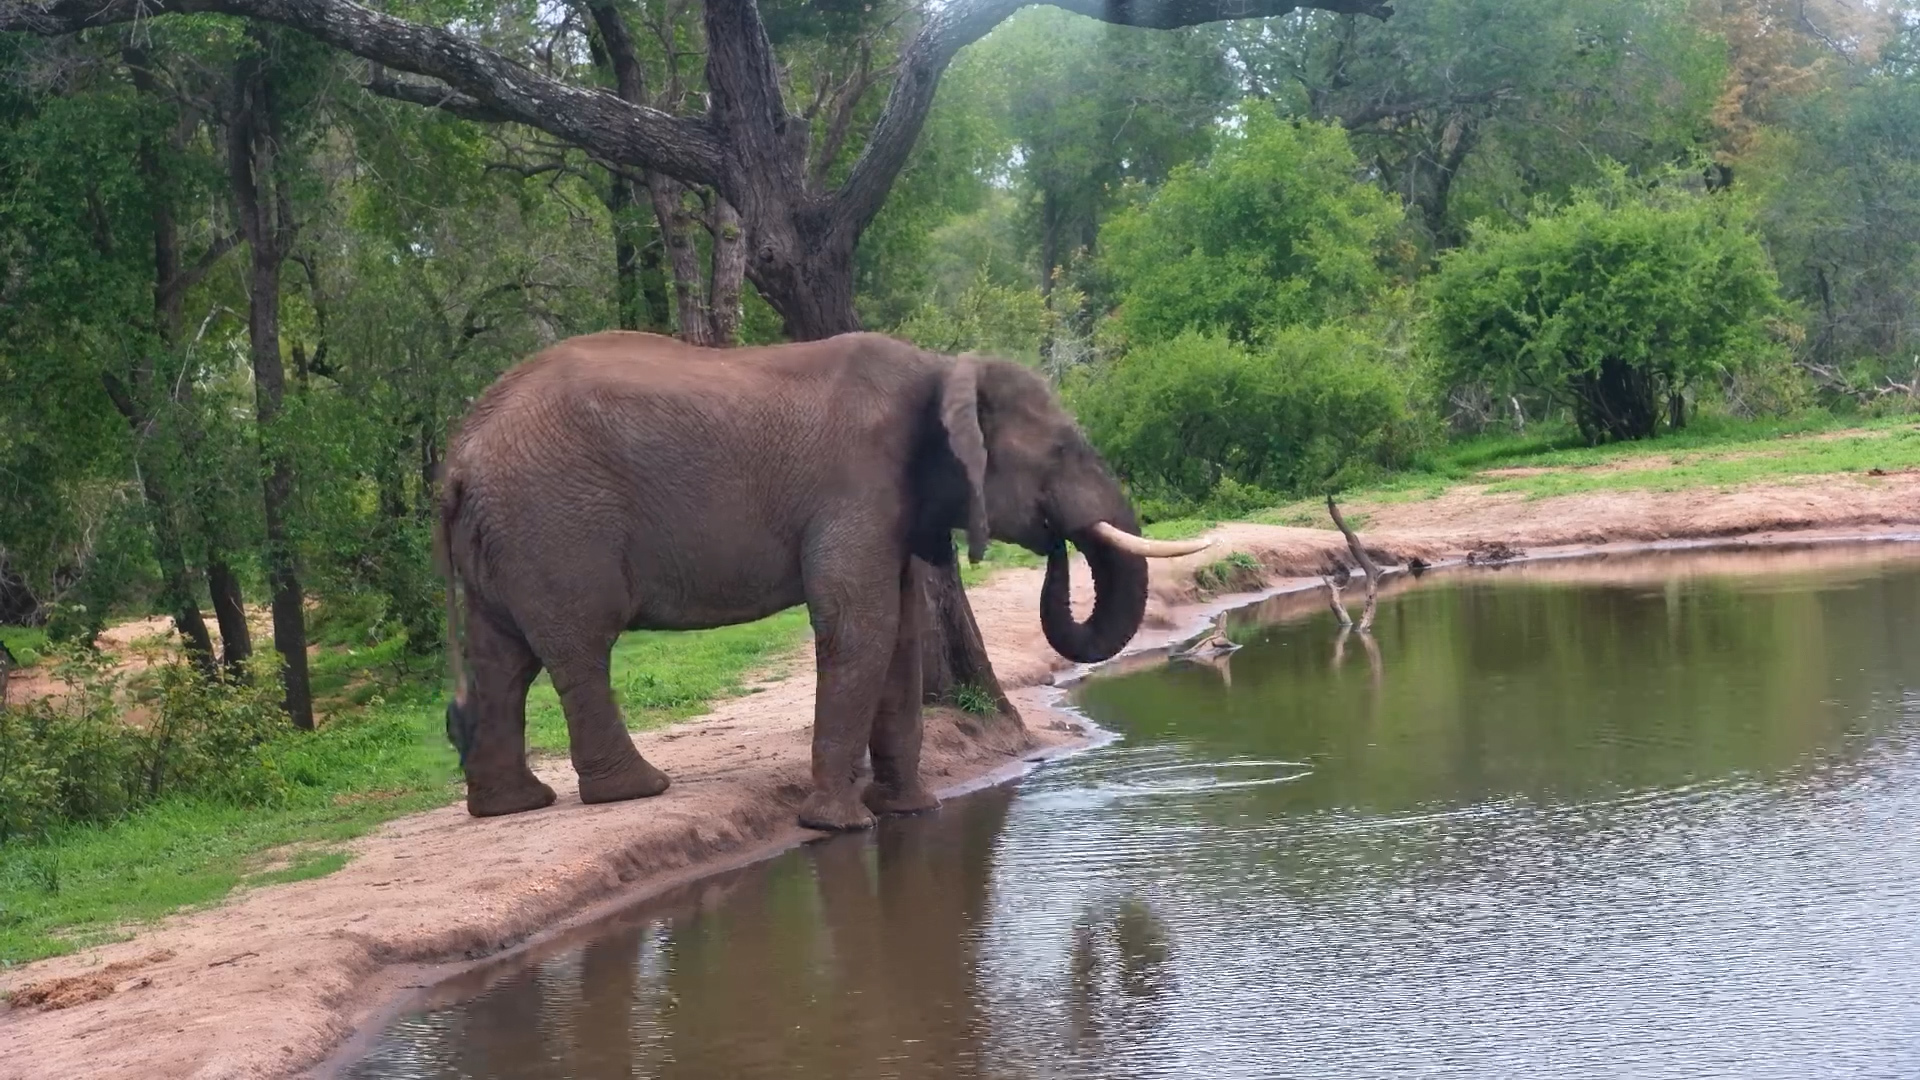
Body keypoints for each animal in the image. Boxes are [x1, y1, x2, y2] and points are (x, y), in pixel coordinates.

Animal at [433, 330, 1209, 831]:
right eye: (1062, 450)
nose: (1055, 545)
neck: (940, 368)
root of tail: (456, 456)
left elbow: (897, 635)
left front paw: (911, 813)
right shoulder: (856, 488)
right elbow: (860, 628)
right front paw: (839, 828)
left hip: (509, 536)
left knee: (502, 659)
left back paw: (513, 805)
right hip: (555, 523)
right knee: (578, 648)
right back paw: (635, 792)